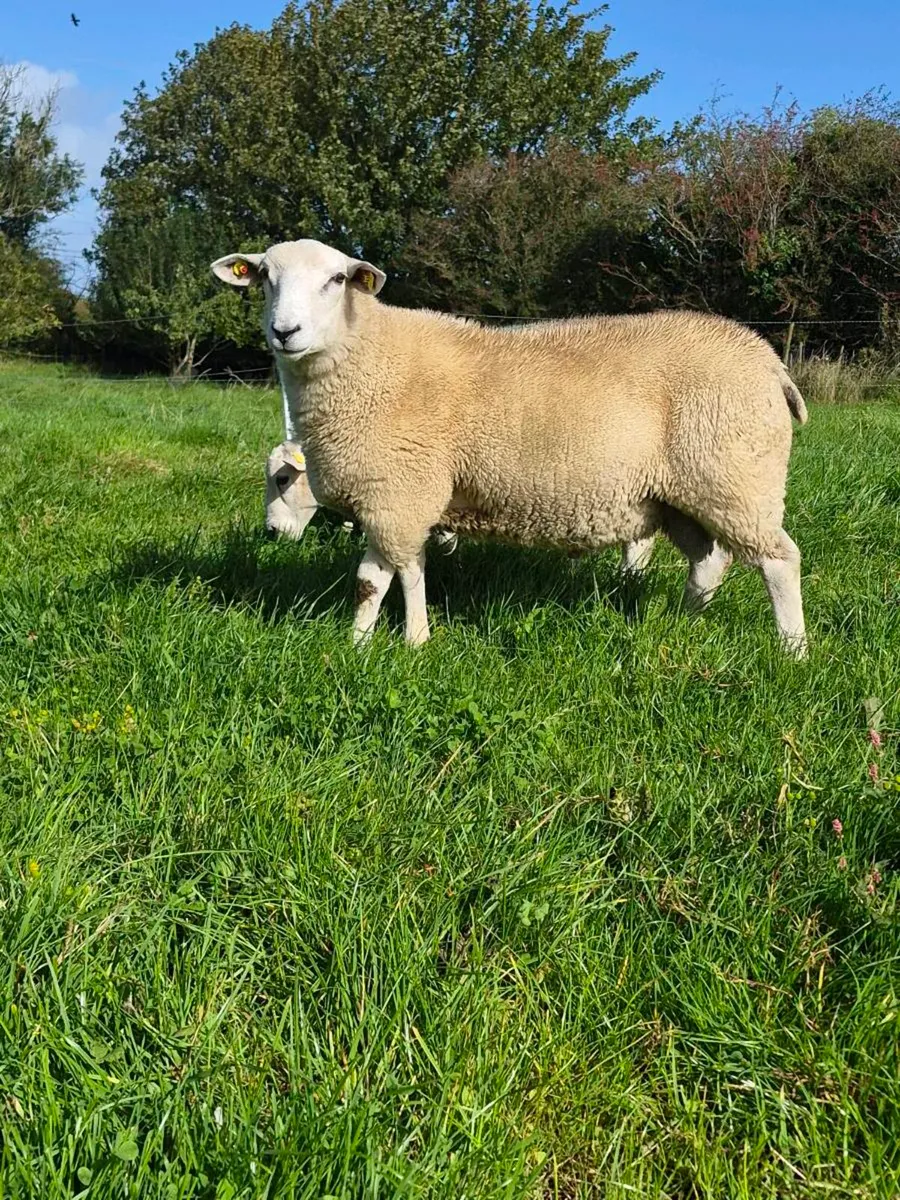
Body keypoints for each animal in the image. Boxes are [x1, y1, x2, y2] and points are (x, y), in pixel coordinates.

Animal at [213, 240, 808, 655]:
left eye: (337, 280)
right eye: (264, 277)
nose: (284, 331)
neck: (367, 360)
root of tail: (769, 362)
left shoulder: (396, 491)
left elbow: (372, 581)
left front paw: (380, 645)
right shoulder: (410, 498)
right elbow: (404, 571)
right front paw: (390, 642)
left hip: (736, 477)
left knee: (780, 561)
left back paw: (792, 651)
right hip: (683, 495)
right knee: (709, 560)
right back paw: (686, 621)